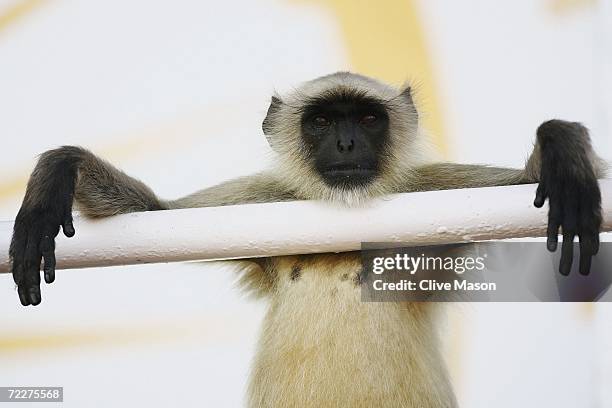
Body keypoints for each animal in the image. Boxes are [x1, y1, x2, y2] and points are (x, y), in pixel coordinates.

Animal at [8, 71, 608, 406]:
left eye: (366, 120)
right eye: (321, 122)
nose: (345, 143)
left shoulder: (431, 191)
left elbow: (529, 182)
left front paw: (561, 148)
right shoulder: (262, 198)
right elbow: (154, 212)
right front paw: (60, 171)